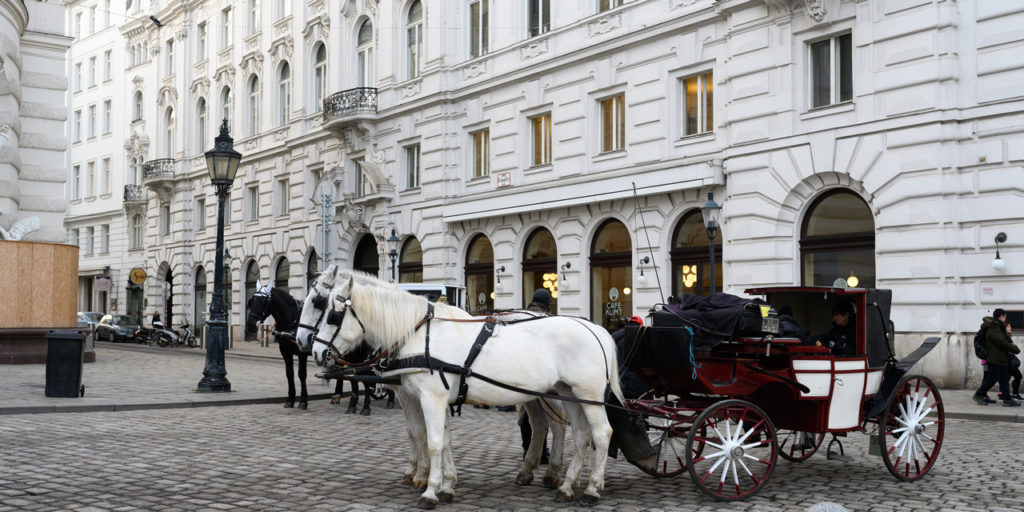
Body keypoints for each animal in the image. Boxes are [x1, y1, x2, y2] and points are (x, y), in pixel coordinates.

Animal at [309, 272, 622, 507]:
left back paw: (591, 489)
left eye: (329, 313)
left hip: (588, 396)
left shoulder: (431, 398)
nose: (314, 352)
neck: (420, 333)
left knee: (601, 433)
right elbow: (444, 441)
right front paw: (447, 486)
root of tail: (595, 329)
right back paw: (566, 486)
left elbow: (433, 442)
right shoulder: (433, 399)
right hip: (568, 393)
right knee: (579, 435)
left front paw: (430, 490)